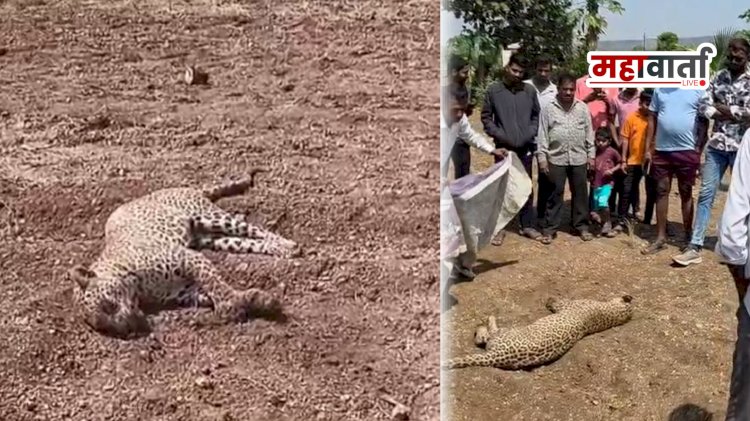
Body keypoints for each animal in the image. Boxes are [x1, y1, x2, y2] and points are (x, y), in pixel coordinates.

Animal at [66, 168, 298, 339]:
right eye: (106, 327)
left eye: (109, 304)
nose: (129, 331)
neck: (138, 288)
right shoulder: (187, 291)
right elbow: (212, 292)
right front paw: (257, 299)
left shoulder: (190, 258)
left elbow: (217, 285)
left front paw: (231, 306)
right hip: (212, 239)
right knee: (249, 242)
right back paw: (281, 249)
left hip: (207, 216)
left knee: (254, 229)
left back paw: (289, 246)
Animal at [442, 295, 634, 370]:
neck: (613, 314)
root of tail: (497, 356)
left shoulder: (565, 305)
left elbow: (556, 302)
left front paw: (549, 299)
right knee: (483, 339)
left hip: (504, 332)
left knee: (487, 333)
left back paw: (486, 321)